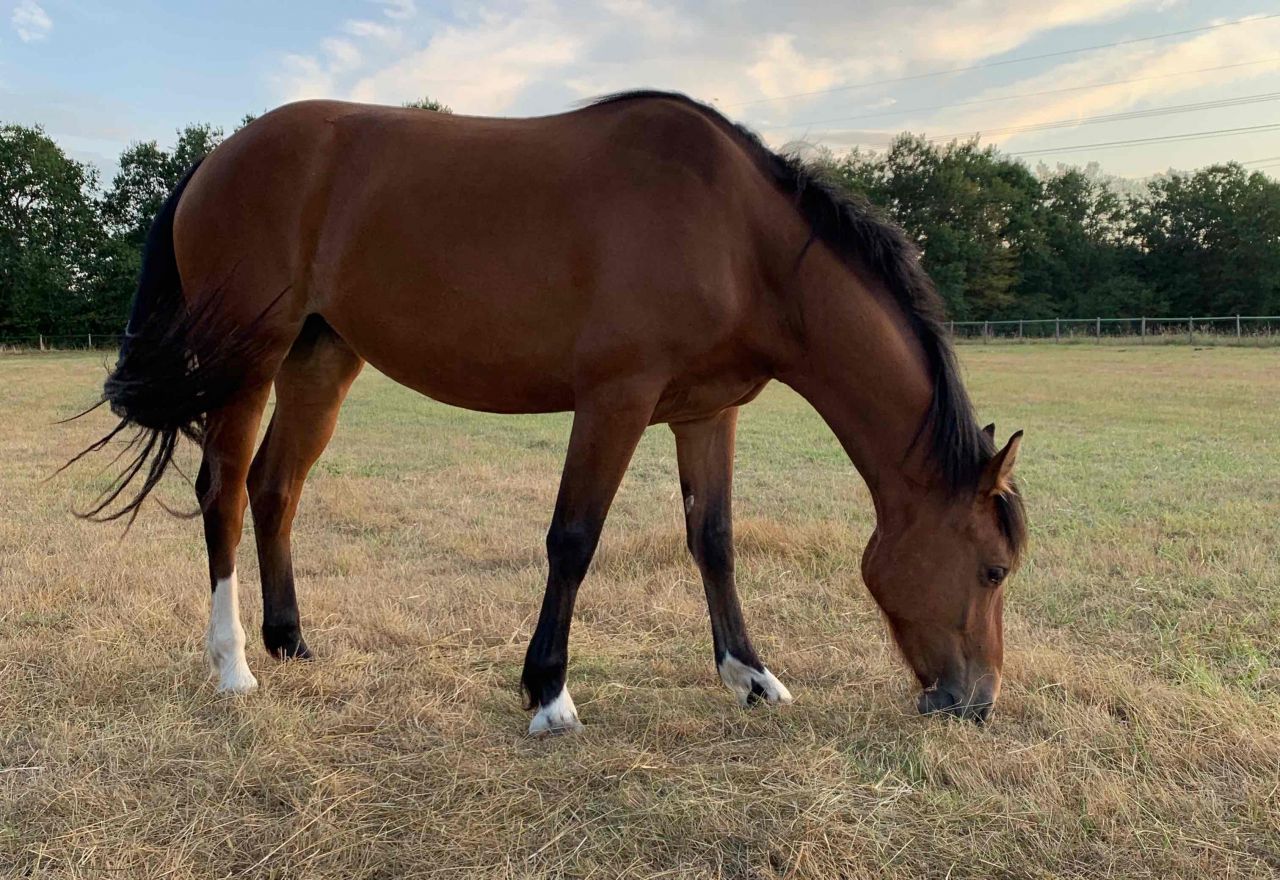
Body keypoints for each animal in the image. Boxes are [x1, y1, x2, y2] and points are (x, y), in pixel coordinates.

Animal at [74, 90, 1026, 733]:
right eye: (993, 570)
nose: (974, 702)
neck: (739, 237)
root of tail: (214, 158)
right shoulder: (615, 398)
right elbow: (573, 539)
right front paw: (548, 692)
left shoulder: (704, 414)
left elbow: (713, 540)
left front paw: (750, 676)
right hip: (246, 359)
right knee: (224, 492)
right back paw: (233, 666)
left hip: (320, 358)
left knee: (276, 489)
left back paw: (290, 641)